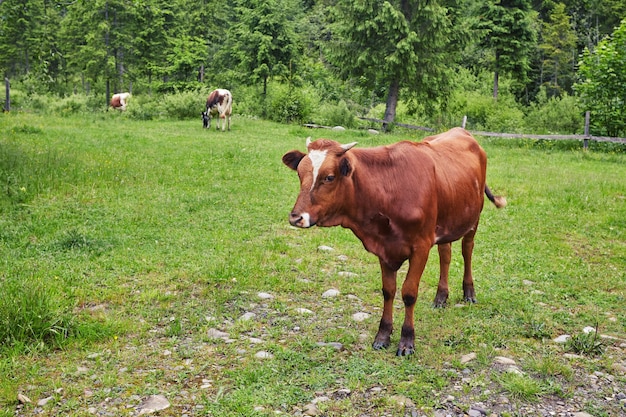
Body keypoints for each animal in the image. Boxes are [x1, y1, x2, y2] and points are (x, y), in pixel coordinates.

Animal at [280, 128, 504, 356]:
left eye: (329, 177)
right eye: (299, 174)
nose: (296, 218)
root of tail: (462, 131)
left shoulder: (421, 246)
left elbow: (409, 293)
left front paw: (407, 340)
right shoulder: (384, 248)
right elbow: (388, 291)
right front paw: (383, 335)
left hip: (474, 218)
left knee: (467, 250)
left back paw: (469, 292)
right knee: (445, 255)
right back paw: (441, 297)